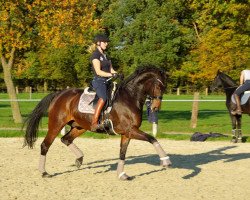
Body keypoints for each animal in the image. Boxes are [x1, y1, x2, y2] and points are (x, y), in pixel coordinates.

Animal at [23, 66, 172, 180]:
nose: (156, 107)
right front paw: (166, 161)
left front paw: (122, 175)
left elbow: (122, 153)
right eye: (159, 85)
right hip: (56, 125)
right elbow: (152, 139)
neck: (130, 97)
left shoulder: (127, 133)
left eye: (164, 86)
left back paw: (79, 159)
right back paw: (44, 172)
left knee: (66, 139)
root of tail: (59, 94)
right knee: (45, 145)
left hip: (80, 127)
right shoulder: (130, 130)